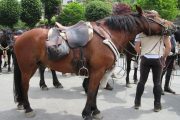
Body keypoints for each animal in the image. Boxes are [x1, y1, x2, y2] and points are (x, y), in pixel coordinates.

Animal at [12, 6, 174, 119]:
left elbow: (94, 92)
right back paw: (28, 108)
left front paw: (95, 111)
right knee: (24, 86)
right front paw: (86, 113)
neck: (108, 35)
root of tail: (19, 37)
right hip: (27, 69)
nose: (172, 26)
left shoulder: (98, 72)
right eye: (153, 16)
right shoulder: (97, 71)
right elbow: (90, 92)